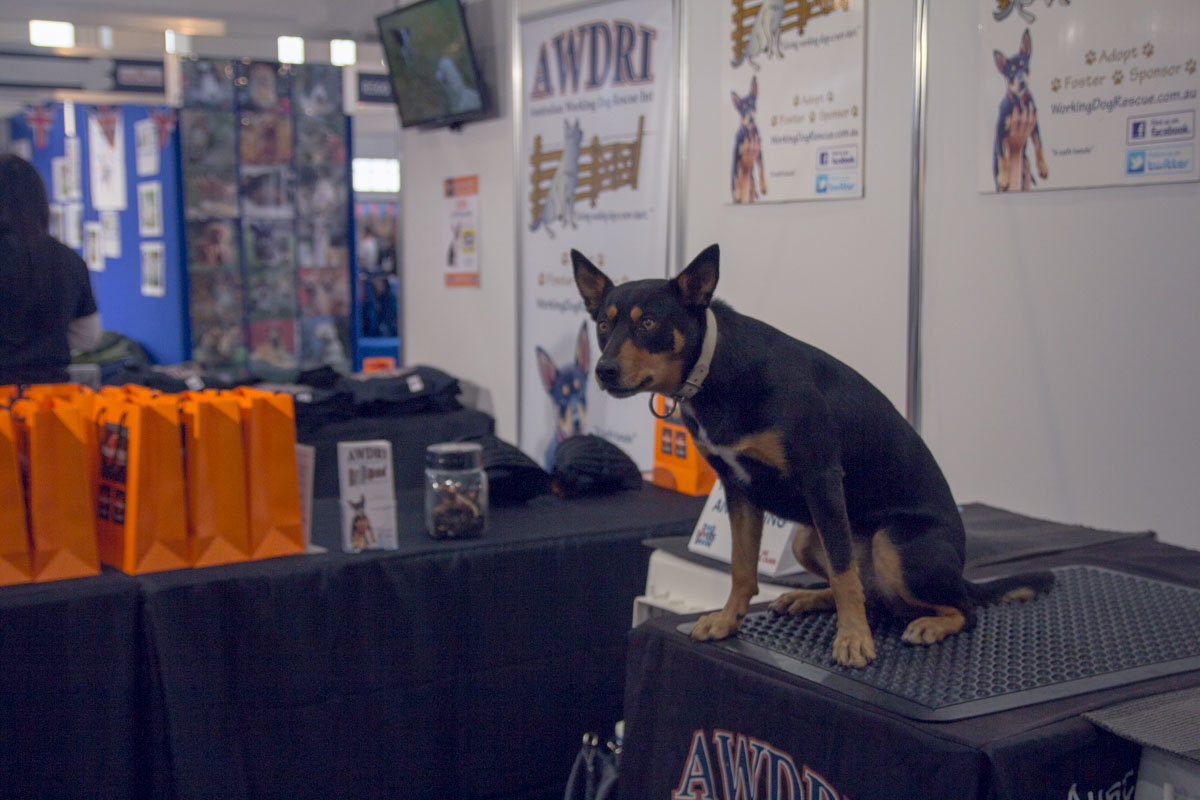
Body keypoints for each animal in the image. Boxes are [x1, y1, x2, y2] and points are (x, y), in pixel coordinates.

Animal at [571, 245, 1051, 671]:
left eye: (648, 323)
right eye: (603, 325)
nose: (604, 371)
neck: (716, 369)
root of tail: (961, 566)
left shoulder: (820, 479)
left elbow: (842, 572)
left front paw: (853, 640)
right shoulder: (739, 488)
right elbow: (743, 568)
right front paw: (728, 621)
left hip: (891, 544)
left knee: (961, 608)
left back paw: (930, 623)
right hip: (807, 537)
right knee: (872, 594)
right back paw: (806, 597)